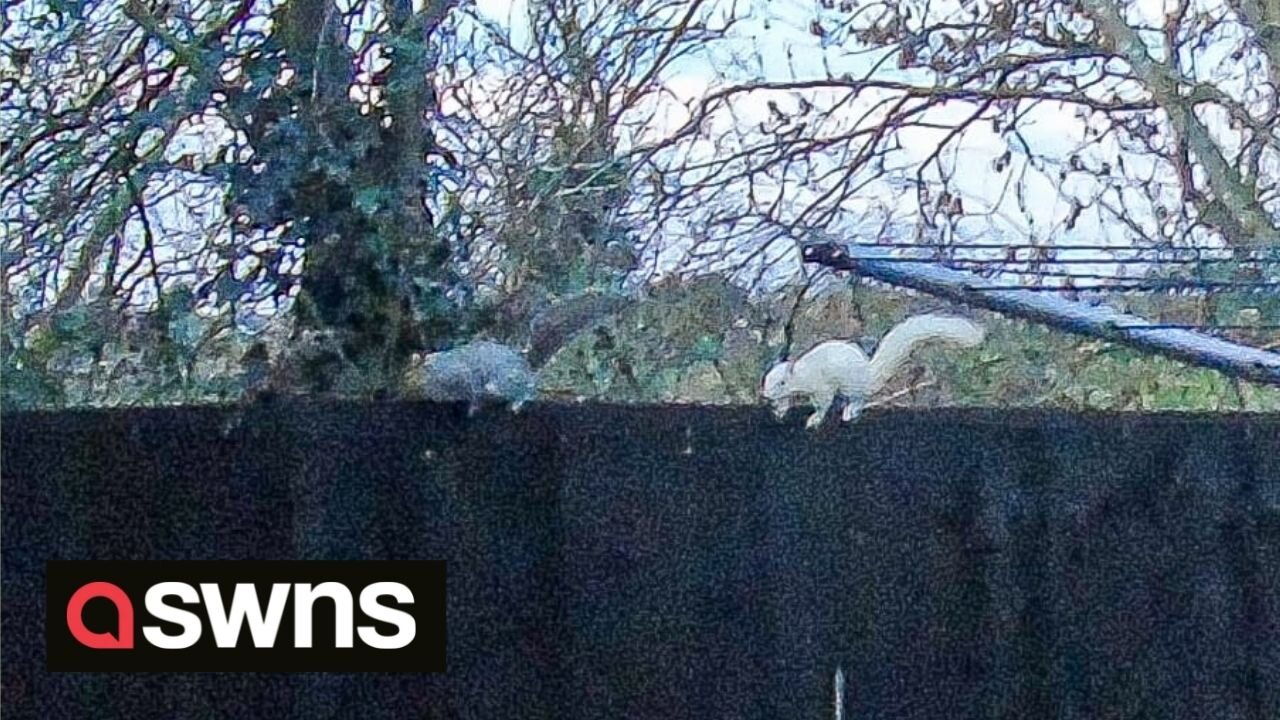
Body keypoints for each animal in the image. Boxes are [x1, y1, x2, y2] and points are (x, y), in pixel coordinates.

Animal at [762, 312, 983, 425]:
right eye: (766, 380)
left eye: (782, 382)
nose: (765, 395)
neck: (802, 374)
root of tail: (867, 375)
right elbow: (784, 402)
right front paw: (779, 411)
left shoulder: (821, 386)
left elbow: (823, 403)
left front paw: (815, 418)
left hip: (850, 385)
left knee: (860, 398)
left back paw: (850, 411)